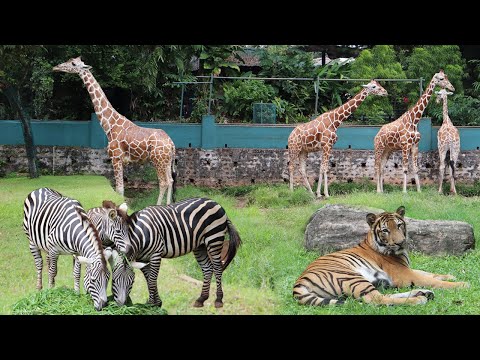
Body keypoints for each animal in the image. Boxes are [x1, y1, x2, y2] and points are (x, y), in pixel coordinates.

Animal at [53, 56, 176, 205]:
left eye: (73, 63)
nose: (56, 67)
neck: (109, 125)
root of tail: (171, 144)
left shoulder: (115, 158)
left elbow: (119, 189)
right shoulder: (121, 160)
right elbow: (120, 188)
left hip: (158, 160)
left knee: (163, 182)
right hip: (167, 161)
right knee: (170, 180)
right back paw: (168, 206)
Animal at [95, 198, 242, 308]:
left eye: (131, 282)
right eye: (114, 281)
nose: (121, 305)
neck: (140, 235)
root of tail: (216, 203)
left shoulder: (156, 254)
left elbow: (152, 280)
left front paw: (152, 305)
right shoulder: (143, 259)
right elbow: (149, 279)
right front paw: (155, 303)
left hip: (214, 239)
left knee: (217, 268)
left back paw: (218, 300)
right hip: (199, 246)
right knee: (207, 269)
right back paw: (201, 299)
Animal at [292, 205, 468, 306]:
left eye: (399, 225)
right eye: (385, 230)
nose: (401, 242)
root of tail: (298, 282)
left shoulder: (407, 269)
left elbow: (428, 273)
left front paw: (450, 275)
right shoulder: (404, 274)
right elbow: (431, 280)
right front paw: (461, 284)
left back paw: (422, 293)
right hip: (351, 277)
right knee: (376, 299)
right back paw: (419, 298)